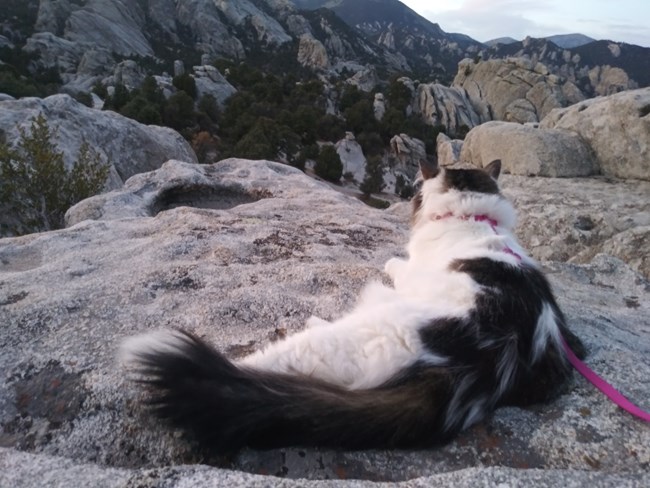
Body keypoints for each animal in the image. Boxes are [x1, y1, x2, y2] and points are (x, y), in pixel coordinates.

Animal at [119, 161, 584, 454]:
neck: (474, 220)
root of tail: (480, 365)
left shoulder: (409, 270)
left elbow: (395, 261)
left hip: (349, 337)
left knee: (267, 365)